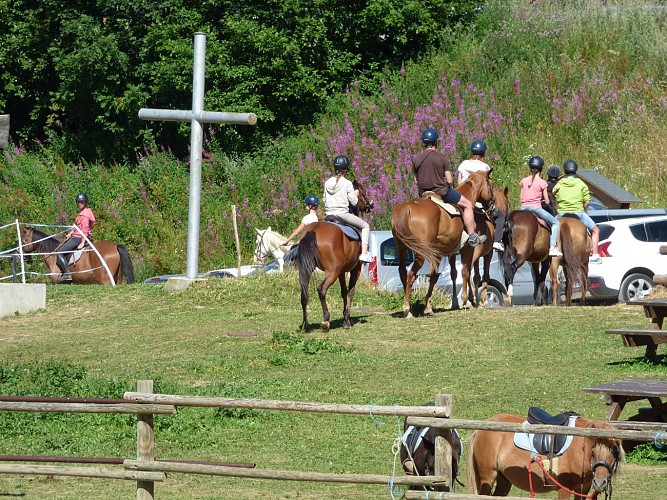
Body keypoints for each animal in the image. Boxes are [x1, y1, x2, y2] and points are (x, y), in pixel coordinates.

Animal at [294, 180, 374, 332]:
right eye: (362, 192)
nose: (370, 205)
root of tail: (313, 231)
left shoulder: (342, 272)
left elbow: (343, 292)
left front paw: (345, 317)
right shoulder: (355, 269)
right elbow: (350, 292)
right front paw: (347, 319)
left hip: (310, 269)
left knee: (303, 294)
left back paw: (306, 325)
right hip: (332, 271)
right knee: (321, 289)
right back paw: (325, 320)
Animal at [392, 169, 496, 316]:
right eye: (491, 185)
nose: (492, 205)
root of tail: (407, 206)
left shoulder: (439, 253)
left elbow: (435, 276)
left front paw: (428, 306)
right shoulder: (467, 249)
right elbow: (466, 271)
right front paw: (465, 300)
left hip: (402, 248)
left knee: (402, 272)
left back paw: (409, 307)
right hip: (421, 253)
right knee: (411, 275)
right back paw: (407, 309)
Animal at [468, 412, 624, 498]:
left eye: (615, 452)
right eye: (593, 452)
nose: (600, 482)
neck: (580, 447)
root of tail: (481, 428)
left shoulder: (583, 489)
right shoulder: (564, 489)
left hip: (504, 480)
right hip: (488, 477)